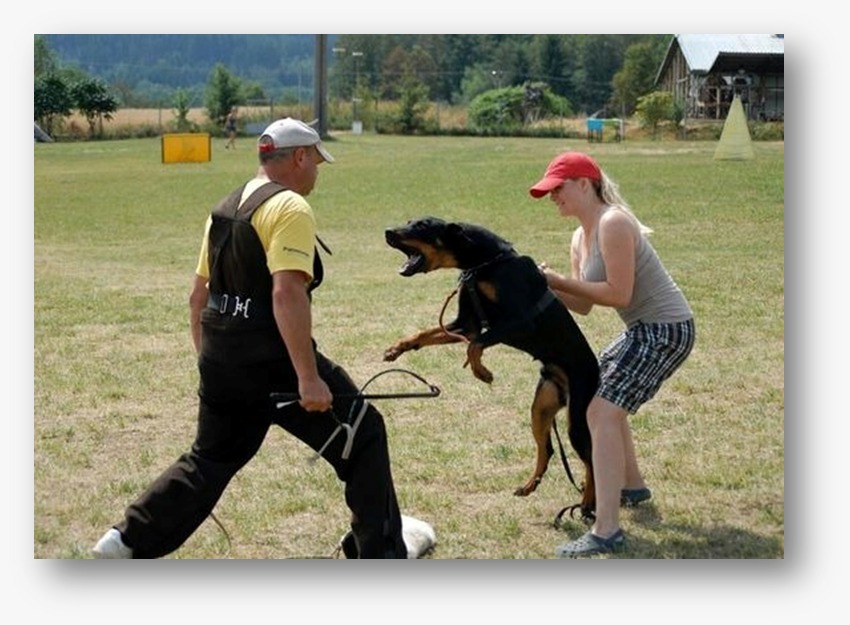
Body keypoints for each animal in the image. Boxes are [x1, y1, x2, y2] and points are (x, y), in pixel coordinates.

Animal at [380, 214, 600, 516]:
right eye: (409, 221)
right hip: (542, 408)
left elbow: (475, 345)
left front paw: (482, 372)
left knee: (592, 458)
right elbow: (425, 334)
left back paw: (588, 501)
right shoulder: (466, 323)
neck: (483, 264)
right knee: (548, 449)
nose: (388, 232)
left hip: (577, 417)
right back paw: (530, 486)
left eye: (422, 226)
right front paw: (396, 349)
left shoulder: (518, 322)